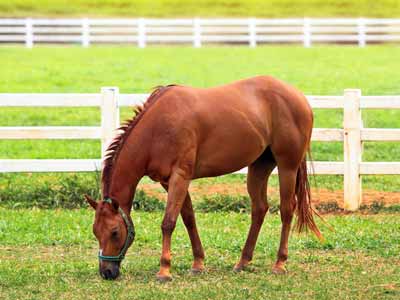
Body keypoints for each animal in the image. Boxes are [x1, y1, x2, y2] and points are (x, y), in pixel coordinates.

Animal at [85, 75, 322, 282]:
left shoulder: (180, 176)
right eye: (95, 231)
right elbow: (188, 218)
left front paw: (164, 270)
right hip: (259, 167)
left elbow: (168, 222)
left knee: (286, 210)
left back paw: (279, 263)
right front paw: (198, 263)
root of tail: (298, 96)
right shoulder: (168, 181)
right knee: (259, 209)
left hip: (287, 166)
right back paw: (243, 262)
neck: (157, 129)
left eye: (114, 232)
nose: (107, 272)